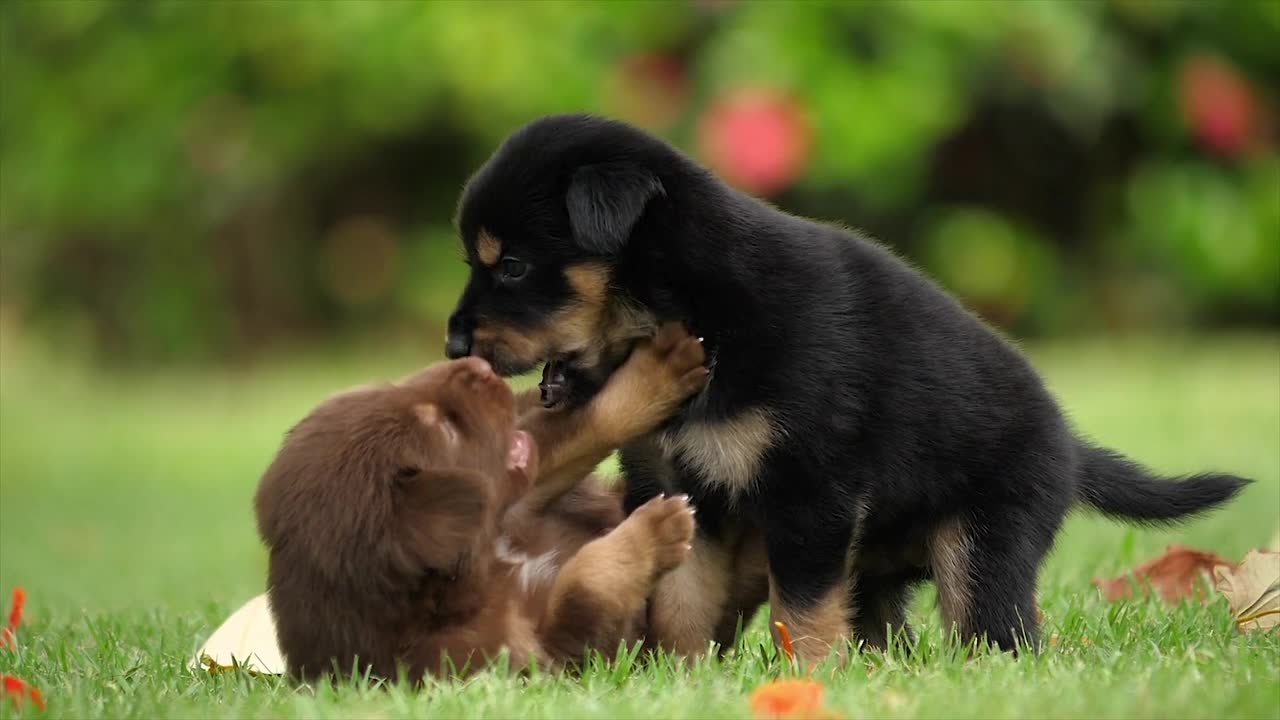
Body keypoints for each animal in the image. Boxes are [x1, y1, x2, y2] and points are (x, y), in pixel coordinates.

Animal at [250, 322, 711, 676]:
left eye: (391, 389)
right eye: (445, 429)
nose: (477, 364)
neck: (488, 565)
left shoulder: (515, 505)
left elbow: (577, 427)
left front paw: (656, 371)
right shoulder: (542, 658)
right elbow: (582, 586)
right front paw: (657, 527)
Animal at [442, 110, 1249, 655]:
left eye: (511, 265)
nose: (452, 344)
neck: (691, 309)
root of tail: (1073, 448)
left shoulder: (811, 491)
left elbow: (798, 612)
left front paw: (807, 680)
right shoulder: (678, 488)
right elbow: (677, 601)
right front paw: (678, 674)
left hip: (987, 541)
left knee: (996, 631)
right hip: (882, 568)